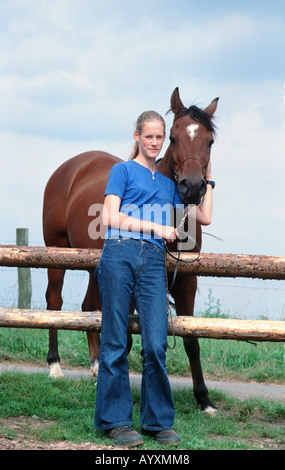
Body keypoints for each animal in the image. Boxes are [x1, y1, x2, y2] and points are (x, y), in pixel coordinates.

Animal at [42, 88, 217, 414]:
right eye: (173, 137)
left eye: (209, 140)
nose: (191, 188)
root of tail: (70, 167)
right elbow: (129, 337)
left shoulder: (187, 282)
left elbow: (191, 340)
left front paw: (205, 401)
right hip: (56, 250)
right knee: (54, 303)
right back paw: (55, 366)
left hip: (94, 266)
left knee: (89, 307)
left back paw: (96, 367)